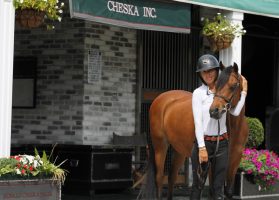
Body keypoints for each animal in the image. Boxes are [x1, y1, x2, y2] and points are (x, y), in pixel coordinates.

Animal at [140, 62, 249, 200]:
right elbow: (212, 191)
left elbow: (228, 192)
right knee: (159, 178)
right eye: (217, 85)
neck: (235, 127)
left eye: (234, 85)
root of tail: (160, 99)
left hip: (179, 150)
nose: (214, 111)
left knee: (171, 176)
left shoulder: (234, 159)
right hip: (160, 146)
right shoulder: (212, 163)